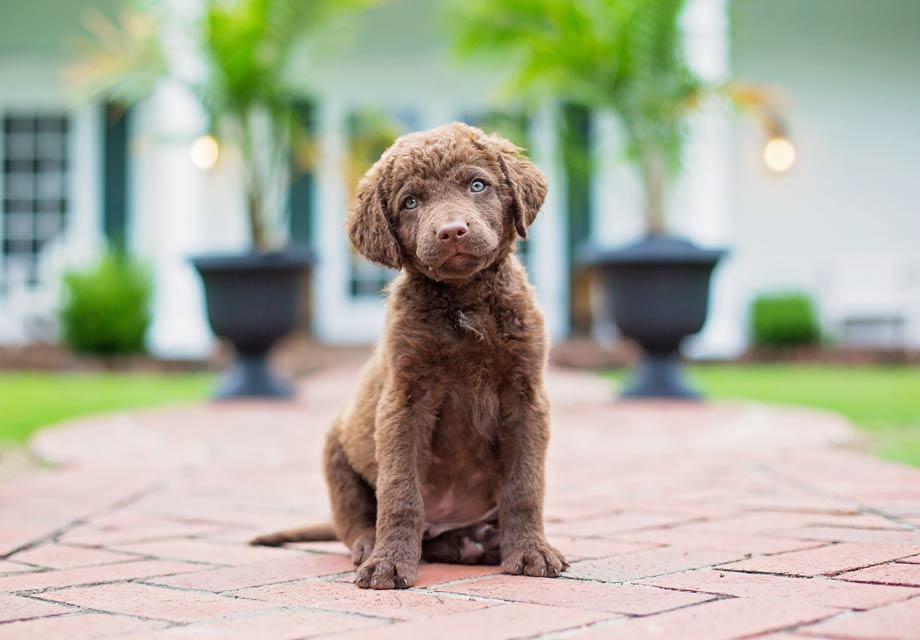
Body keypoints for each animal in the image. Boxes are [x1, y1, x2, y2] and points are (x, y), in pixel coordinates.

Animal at [253, 121, 568, 592]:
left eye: (477, 185)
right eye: (411, 202)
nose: (452, 231)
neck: (463, 302)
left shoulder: (526, 398)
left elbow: (525, 486)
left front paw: (530, 551)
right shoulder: (403, 401)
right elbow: (400, 492)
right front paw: (388, 565)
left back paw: (478, 542)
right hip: (336, 452)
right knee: (358, 521)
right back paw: (379, 546)